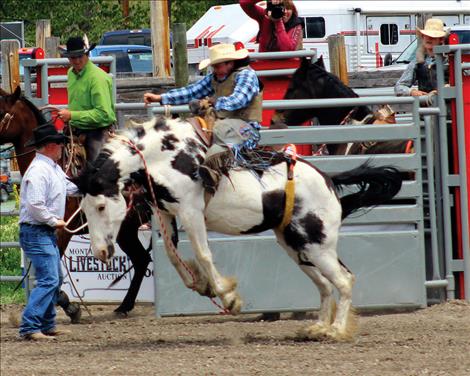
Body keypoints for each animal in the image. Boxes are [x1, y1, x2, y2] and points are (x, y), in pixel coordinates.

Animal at [0, 87, 158, 320]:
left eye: (0, 111)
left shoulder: (62, 230)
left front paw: (69, 306)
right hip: (126, 230)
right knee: (141, 260)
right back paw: (124, 306)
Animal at [71, 115, 402, 340]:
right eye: (83, 208)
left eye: (101, 207)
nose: (101, 252)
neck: (168, 156)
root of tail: (330, 181)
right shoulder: (164, 212)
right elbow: (171, 255)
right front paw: (201, 285)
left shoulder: (191, 211)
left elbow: (203, 255)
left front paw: (228, 297)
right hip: (296, 246)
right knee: (323, 284)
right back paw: (318, 326)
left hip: (317, 244)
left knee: (344, 280)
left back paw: (335, 331)